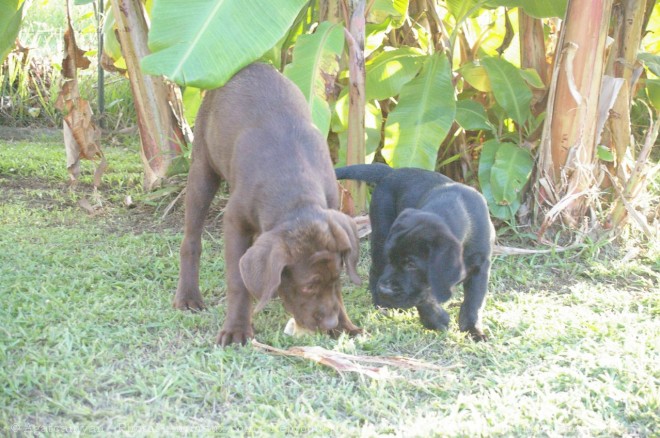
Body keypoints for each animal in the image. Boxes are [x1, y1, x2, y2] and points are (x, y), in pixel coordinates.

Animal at [173, 63, 364, 348]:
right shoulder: (235, 222)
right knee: (192, 239)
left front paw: (345, 325)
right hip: (202, 170)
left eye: (336, 278)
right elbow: (237, 280)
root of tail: (251, 64)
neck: (296, 198)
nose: (330, 323)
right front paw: (237, 328)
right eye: (308, 286)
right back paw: (188, 295)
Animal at [336, 163, 496, 338]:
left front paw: (473, 330)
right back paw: (382, 304)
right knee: (375, 271)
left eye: (411, 265)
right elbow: (424, 297)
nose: (385, 290)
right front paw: (437, 320)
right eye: (391, 258)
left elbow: (473, 302)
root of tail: (391, 172)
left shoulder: (480, 267)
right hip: (380, 235)